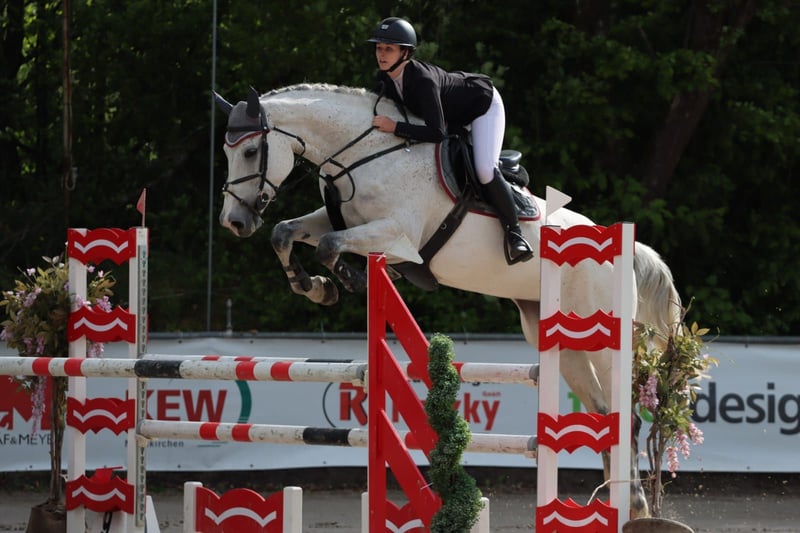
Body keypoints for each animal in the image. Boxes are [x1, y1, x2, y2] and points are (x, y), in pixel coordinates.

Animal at [215, 83, 682, 519]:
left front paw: (349, 279)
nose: (233, 222)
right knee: (603, 415)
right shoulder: (338, 221)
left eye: (252, 150)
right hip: (560, 339)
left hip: (601, 333)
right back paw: (617, 505)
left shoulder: (396, 234)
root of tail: (620, 245)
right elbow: (286, 233)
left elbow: (330, 245)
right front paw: (315, 286)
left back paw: (636, 505)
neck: (364, 155)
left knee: (628, 417)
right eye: (226, 150)